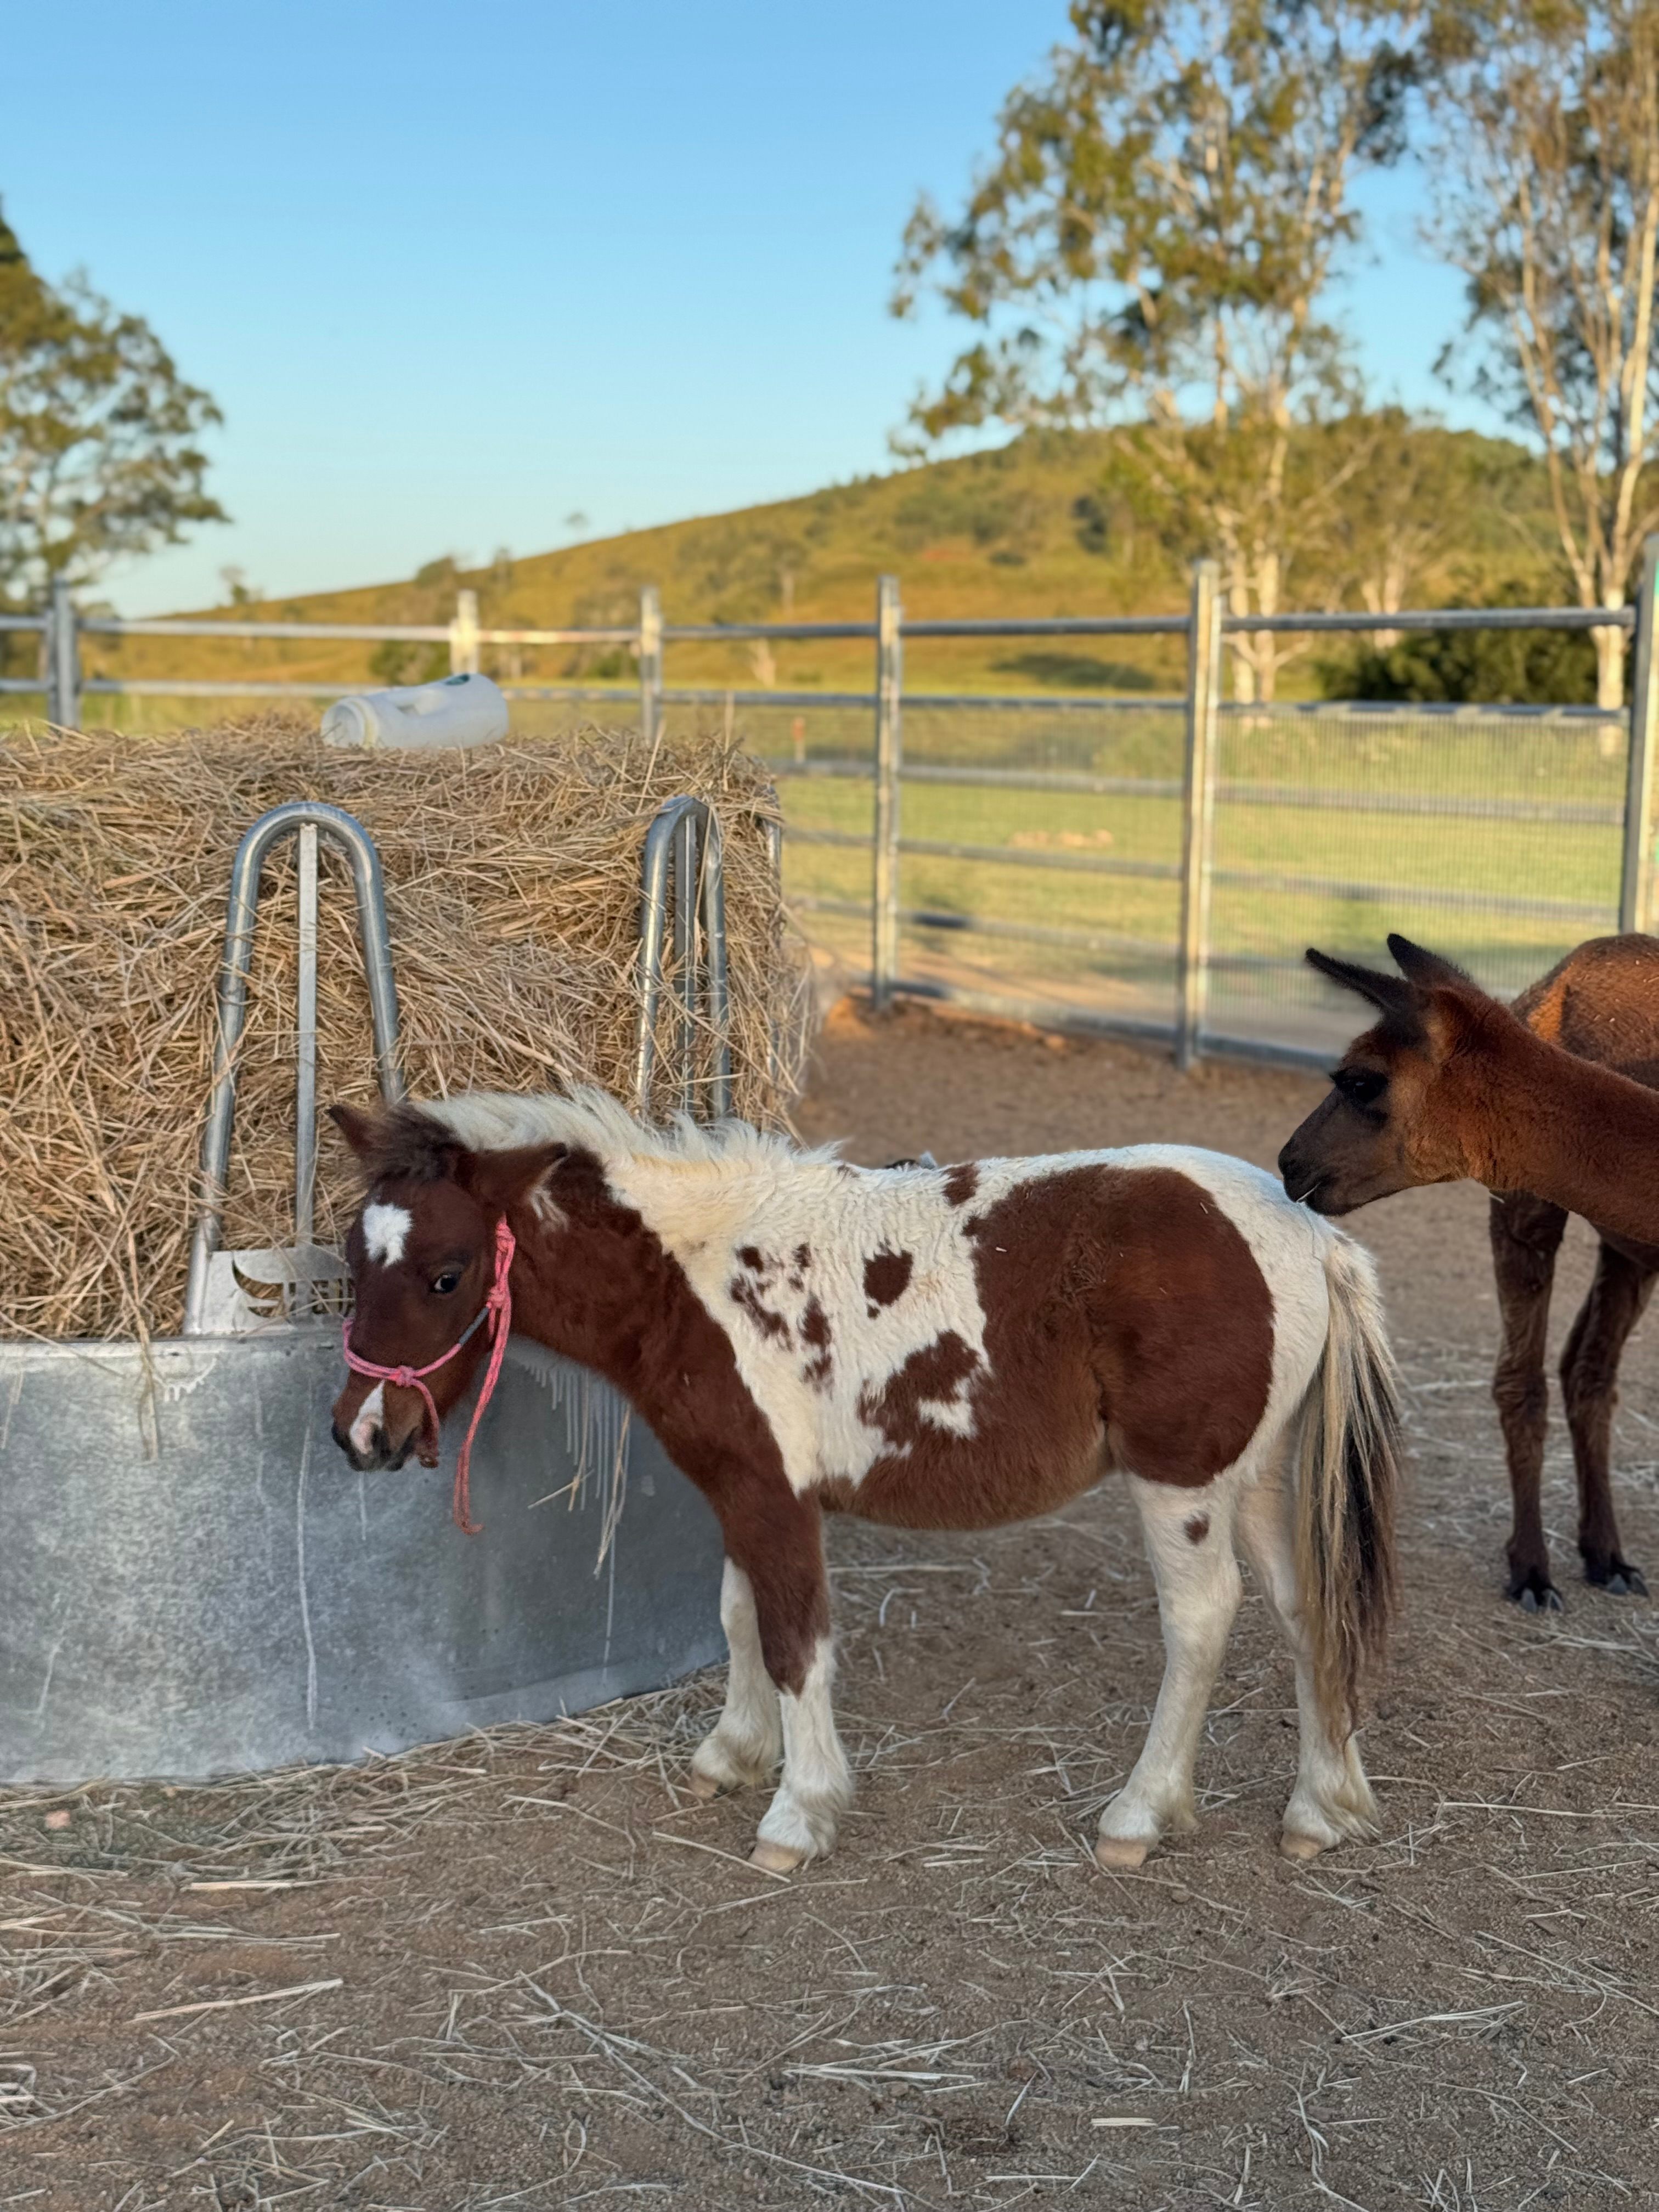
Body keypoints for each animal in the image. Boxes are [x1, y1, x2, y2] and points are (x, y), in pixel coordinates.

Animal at [329, 1087, 1401, 1873]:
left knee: (1202, 1620)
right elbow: (740, 1618)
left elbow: (795, 1644)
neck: (695, 1274)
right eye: (352, 1259)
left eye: (447, 1273)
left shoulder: (771, 1493)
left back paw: (1137, 1816)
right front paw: (732, 1756)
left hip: (1181, 1485)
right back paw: (1321, 1807)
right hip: (1252, 1479)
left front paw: (796, 1816)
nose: (359, 1433)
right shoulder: (744, 1486)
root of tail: (1314, 1237)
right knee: (1309, 1608)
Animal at [1280, 931, 1659, 1610]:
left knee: (1581, 1370)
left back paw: (1602, 1557)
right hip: (1536, 1212)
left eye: (1360, 1081)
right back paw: (1541, 1569)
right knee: (1543, 1377)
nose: (1289, 1161)